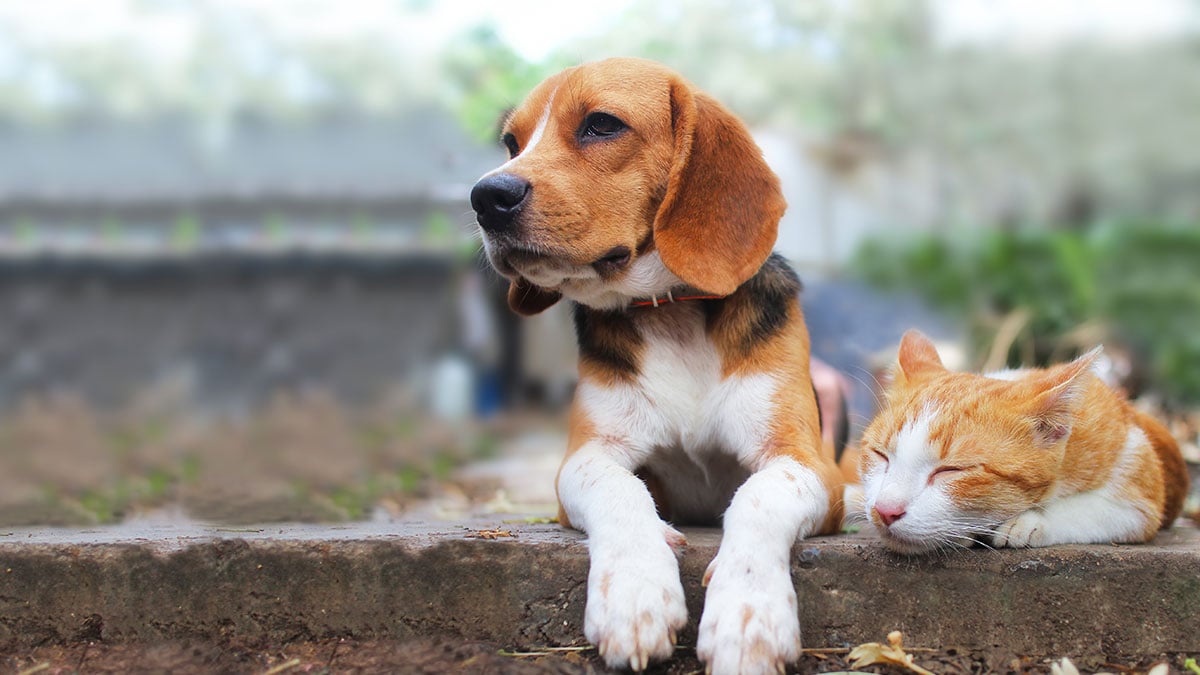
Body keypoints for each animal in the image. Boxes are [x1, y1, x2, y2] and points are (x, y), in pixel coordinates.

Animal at [468, 59, 844, 672]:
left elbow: (758, 497)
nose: (484, 196)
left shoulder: (808, 464)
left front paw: (748, 615)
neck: (670, 311)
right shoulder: (586, 457)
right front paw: (634, 592)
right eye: (511, 143)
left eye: (601, 124)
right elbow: (618, 489)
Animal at [859, 326, 1185, 552]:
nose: (885, 510)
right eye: (880, 455)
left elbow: (1095, 509)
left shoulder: (1140, 488)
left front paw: (1028, 521)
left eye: (951, 470)